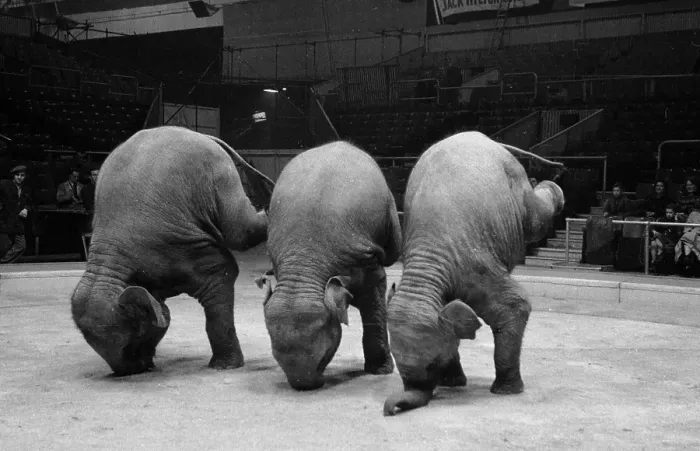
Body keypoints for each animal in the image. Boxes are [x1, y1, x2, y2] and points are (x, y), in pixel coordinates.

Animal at [71, 126, 274, 377]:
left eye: (130, 342)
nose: (133, 370)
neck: (109, 265)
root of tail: (199, 134)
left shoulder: (179, 247)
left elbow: (221, 275)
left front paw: (225, 366)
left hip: (219, 174)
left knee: (240, 231)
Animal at [255, 141, 402, 391]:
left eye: (324, 357)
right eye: (276, 357)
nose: (305, 386)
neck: (305, 261)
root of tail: (341, 143)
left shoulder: (363, 254)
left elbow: (374, 296)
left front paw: (380, 370)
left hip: (389, 209)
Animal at [383, 131, 565, 416]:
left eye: (432, 364)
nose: (391, 410)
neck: (425, 270)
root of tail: (486, 138)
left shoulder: (475, 270)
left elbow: (517, 306)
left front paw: (506, 392)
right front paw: (453, 383)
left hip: (516, 183)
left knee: (536, 218)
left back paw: (553, 181)